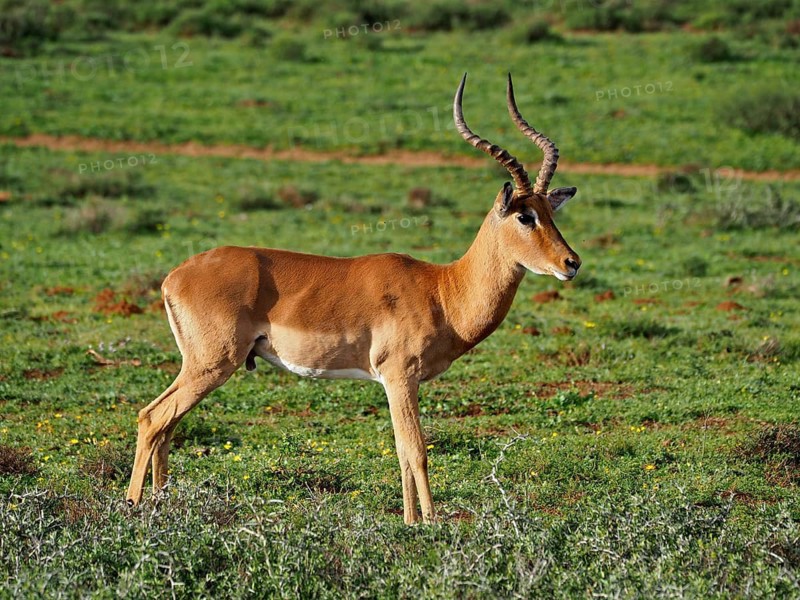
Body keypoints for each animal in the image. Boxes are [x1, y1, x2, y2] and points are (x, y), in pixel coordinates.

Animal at [126, 73, 581, 524]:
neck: (442, 290)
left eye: (551, 212)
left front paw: (410, 523)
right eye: (525, 216)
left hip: (202, 365)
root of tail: (174, 277)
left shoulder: (396, 383)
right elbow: (417, 450)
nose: (571, 262)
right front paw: (432, 525)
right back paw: (133, 508)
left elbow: (401, 452)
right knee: (152, 418)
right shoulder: (400, 377)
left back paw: (160, 505)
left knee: (166, 424)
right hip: (212, 363)